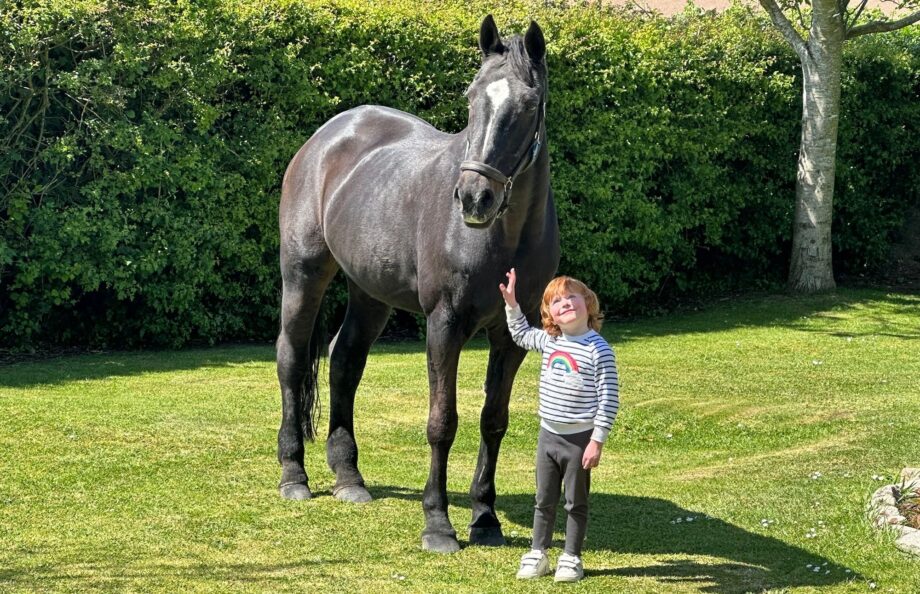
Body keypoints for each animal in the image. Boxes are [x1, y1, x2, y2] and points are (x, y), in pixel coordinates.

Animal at [276, 15, 559, 553]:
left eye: (529, 105)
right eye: (471, 98)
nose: (473, 198)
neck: (503, 238)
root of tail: (326, 136)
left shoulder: (512, 335)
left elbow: (493, 420)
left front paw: (485, 518)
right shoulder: (444, 325)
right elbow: (442, 421)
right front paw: (438, 524)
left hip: (369, 294)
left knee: (345, 361)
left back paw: (349, 478)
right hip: (303, 274)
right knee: (292, 360)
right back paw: (293, 475)